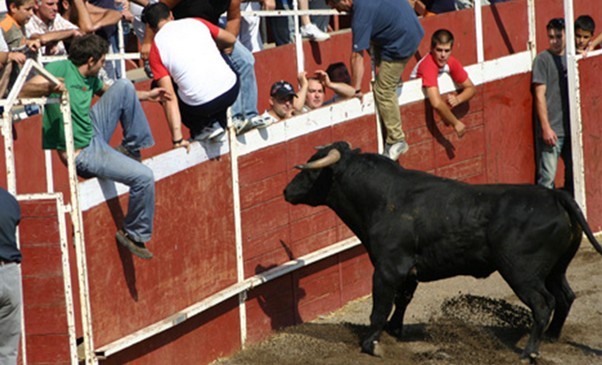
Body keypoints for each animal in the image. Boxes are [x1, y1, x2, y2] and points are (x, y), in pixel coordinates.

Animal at [282, 141, 600, 360]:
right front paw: (394, 331)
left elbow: (380, 306)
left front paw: (371, 344)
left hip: (521, 272)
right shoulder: (408, 271)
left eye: (313, 170)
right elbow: (402, 300)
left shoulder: (387, 268)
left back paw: (529, 351)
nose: (286, 191)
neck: (383, 198)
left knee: (543, 303)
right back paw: (552, 337)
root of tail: (555, 195)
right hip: (555, 269)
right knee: (565, 296)